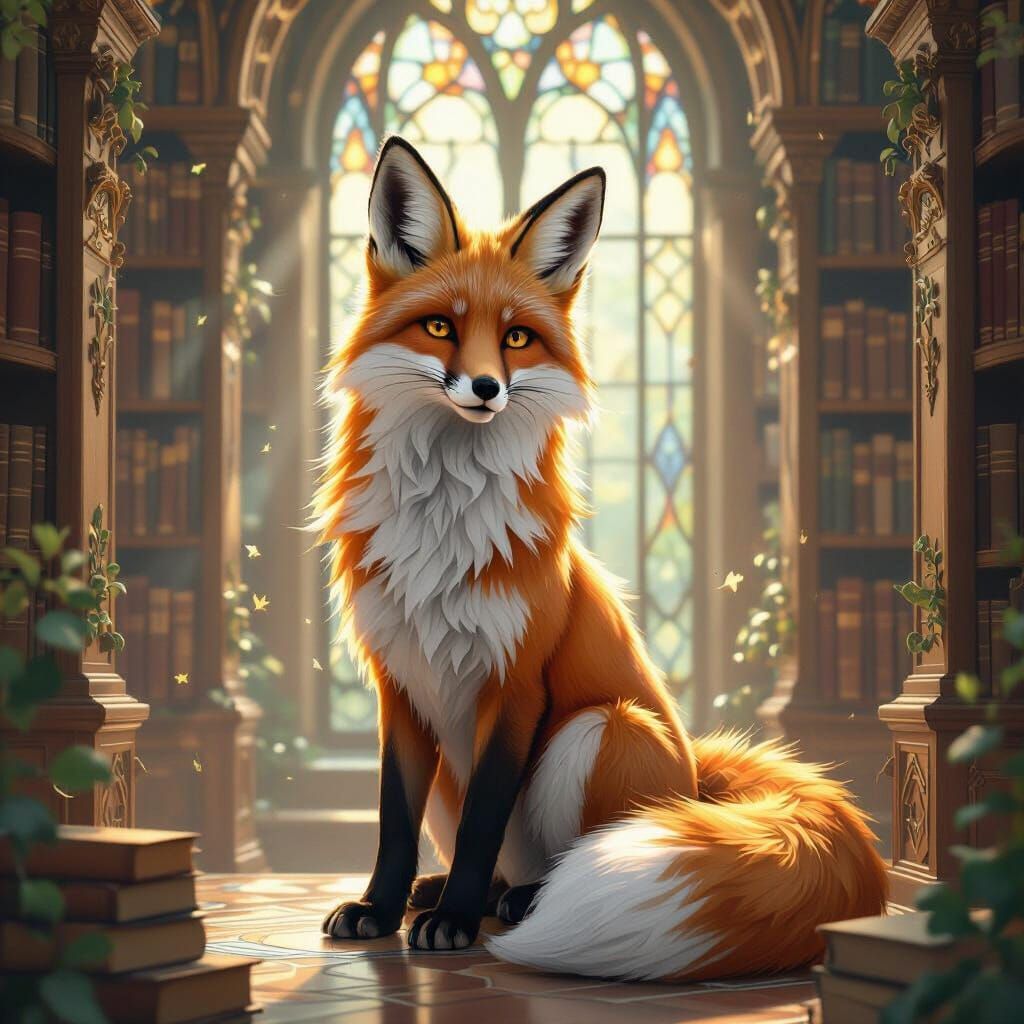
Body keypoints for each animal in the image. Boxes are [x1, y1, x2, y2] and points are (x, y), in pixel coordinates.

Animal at [314, 135, 888, 982]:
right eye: (441, 328)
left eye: (516, 337)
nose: (485, 387)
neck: (443, 524)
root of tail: (696, 779)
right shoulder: (402, 685)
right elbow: (391, 819)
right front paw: (380, 909)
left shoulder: (516, 683)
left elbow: (485, 820)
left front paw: (452, 924)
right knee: (490, 859)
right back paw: (449, 893)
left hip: (600, 730)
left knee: (561, 857)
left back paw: (512, 903)